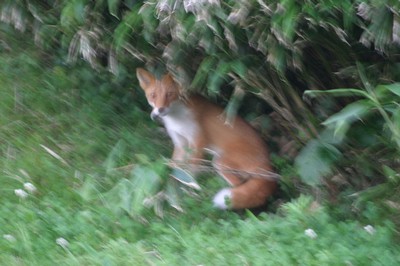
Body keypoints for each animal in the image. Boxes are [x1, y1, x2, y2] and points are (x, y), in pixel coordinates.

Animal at [136, 68, 276, 210]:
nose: (160, 110)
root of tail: (269, 166)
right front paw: (156, 197)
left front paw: (183, 192)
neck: (177, 119)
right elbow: (174, 174)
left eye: (169, 94)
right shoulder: (180, 144)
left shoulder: (198, 141)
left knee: (238, 184)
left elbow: (188, 175)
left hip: (220, 161)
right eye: (153, 95)